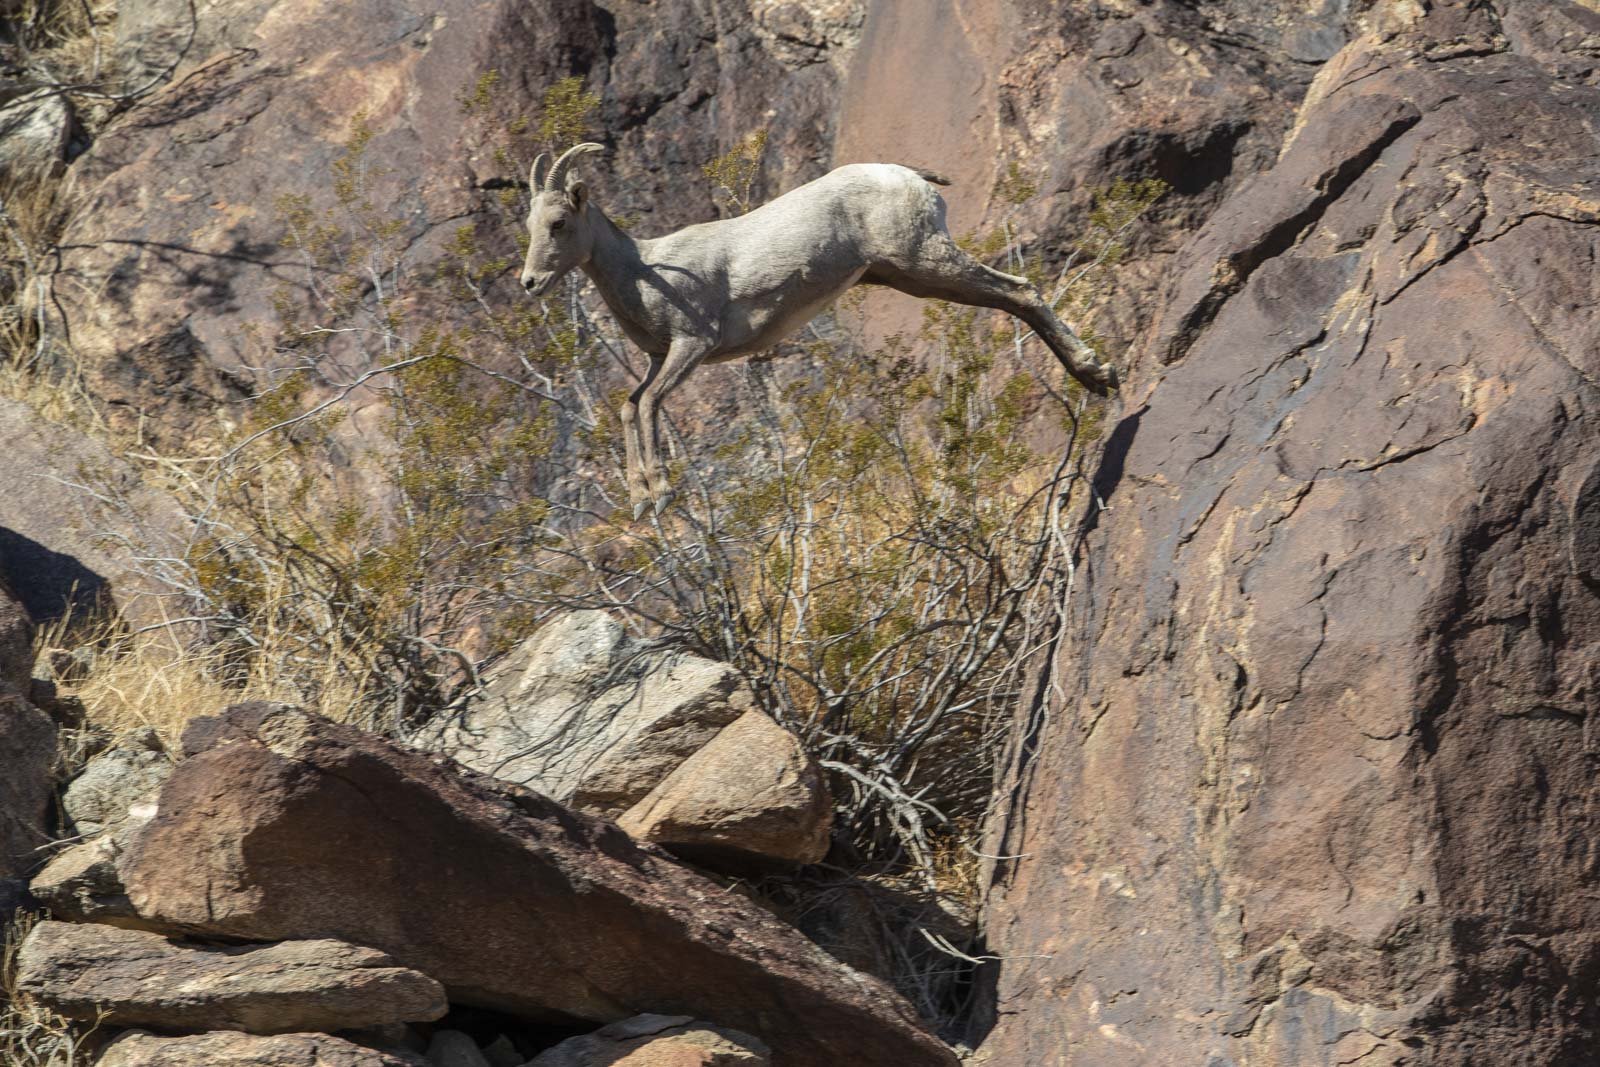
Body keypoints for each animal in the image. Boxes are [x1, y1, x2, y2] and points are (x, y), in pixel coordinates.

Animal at [518, 143, 1120, 521]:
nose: (529, 283)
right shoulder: (656, 360)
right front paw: (643, 501)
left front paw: (660, 495)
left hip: (926, 260)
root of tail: (909, 177)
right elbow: (629, 407)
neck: (644, 268)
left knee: (1022, 290)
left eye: (559, 223)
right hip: (912, 277)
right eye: (529, 225)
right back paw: (1096, 379)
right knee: (1013, 299)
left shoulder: (692, 346)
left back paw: (1101, 374)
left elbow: (646, 407)